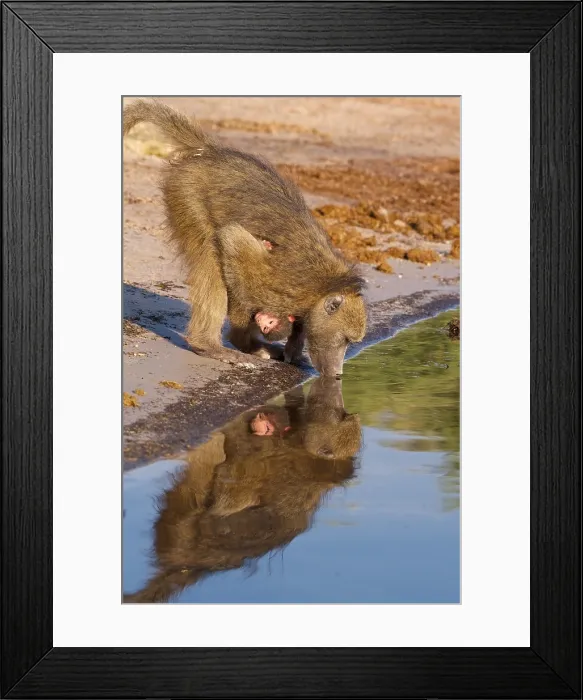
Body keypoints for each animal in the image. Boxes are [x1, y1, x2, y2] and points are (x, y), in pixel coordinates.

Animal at [123, 99, 367, 376]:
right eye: (346, 339)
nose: (337, 373)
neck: (323, 288)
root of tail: (211, 153)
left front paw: (293, 348)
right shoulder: (281, 287)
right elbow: (233, 241)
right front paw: (247, 342)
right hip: (187, 193)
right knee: (211, 259)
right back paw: (208, 345)